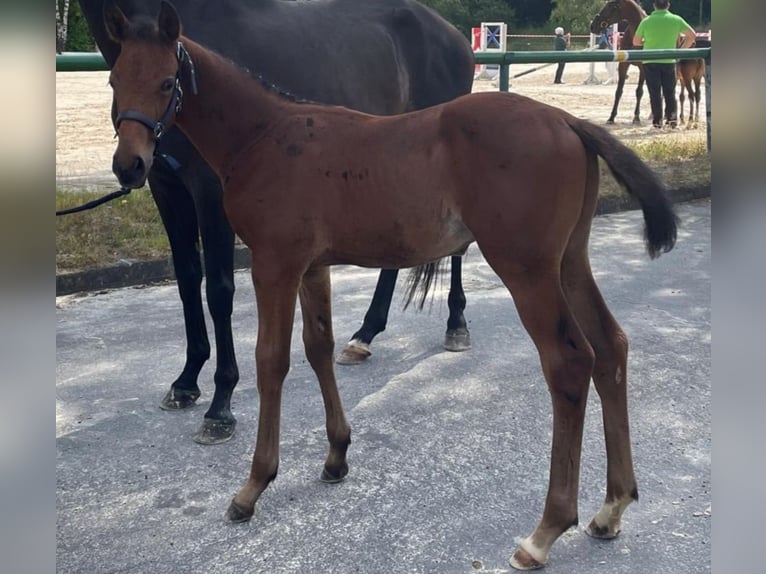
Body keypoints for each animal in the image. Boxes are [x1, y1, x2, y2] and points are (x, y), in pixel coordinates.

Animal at [78, 0, 474, 446]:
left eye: (167, 83)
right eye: (112, 81)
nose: (126, 166)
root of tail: (455, 36)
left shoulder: (210, 193)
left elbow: (218, 291)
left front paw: (221, 405)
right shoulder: (167, 188)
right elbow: (187, 281)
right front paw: (186, 381)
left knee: (457, 247)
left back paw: (455, 325)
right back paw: (364, 335)